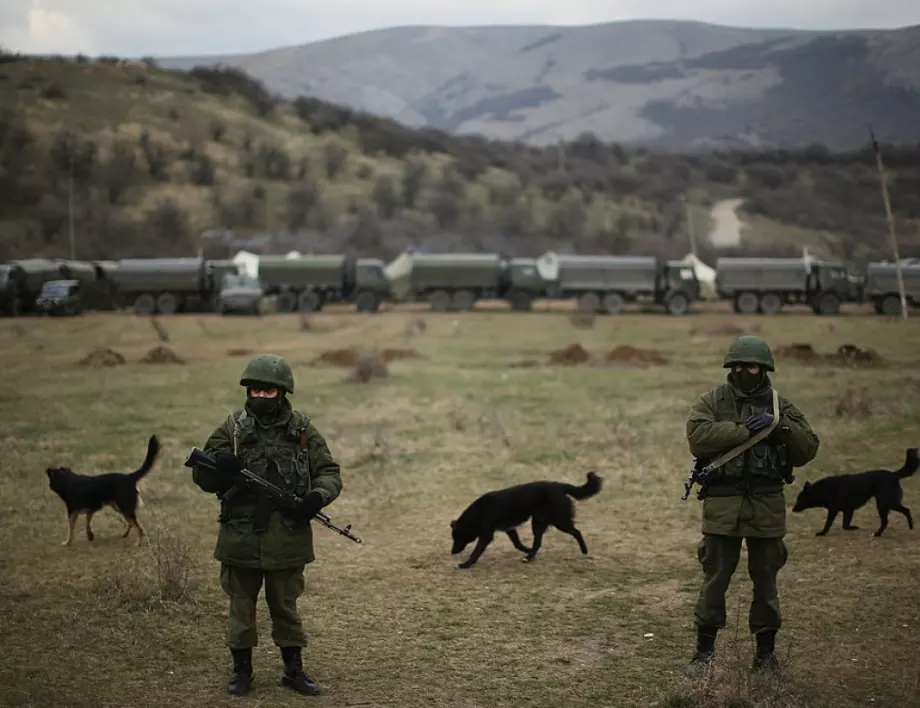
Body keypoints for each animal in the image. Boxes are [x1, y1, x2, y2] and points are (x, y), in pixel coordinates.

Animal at [448, 470, 604, 568]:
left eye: (458, 537)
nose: (452, 552)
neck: (478, 512)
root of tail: (560, 486)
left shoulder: (487, 535)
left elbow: (476, 551)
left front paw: (465, 565)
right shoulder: (509, 529)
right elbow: (517, 543)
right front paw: (526, 549)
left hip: (559, 520)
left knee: (577, 532)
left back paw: (584, 551)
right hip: (539, 522)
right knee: (538, 542)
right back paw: (529, 557)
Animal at [792, 448, 920, 536]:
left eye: (800, 499)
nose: (793, 510)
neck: (823, 490)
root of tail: (893, 475)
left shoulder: (835, 510)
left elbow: (829, 524)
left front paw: (822, 533)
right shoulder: (848, 510)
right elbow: (845, 525)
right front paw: (853, 527)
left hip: (885, 504)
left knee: (891, 517)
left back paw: (878, 534)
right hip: (888, 503)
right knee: (904, 511)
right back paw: (910, 526)